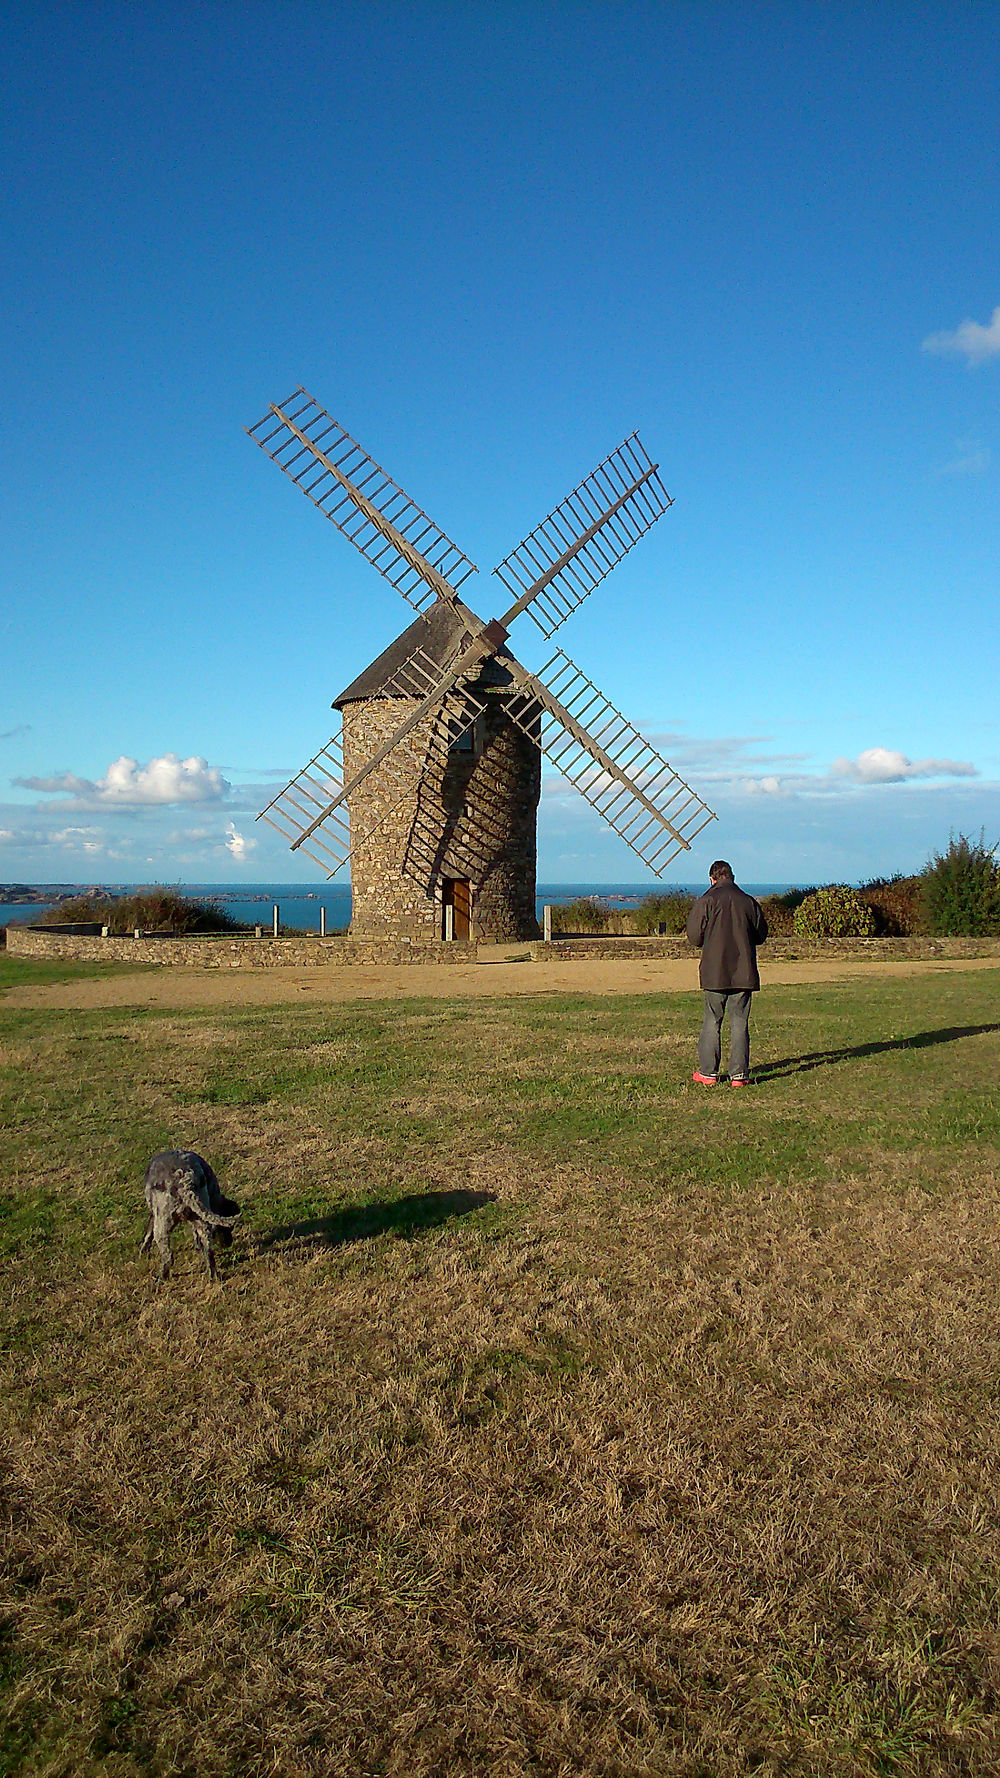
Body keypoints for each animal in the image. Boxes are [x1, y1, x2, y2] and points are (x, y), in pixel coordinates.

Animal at [137, 1152, 240, 1280]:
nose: (228, 1244)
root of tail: (184, 1182)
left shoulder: (154, 1216)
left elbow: (148, 1235)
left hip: (162, 1224)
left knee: (168, 1257)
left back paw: (160, 1278)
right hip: (201, 1220)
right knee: (208, 1250)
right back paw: (213, 1276)